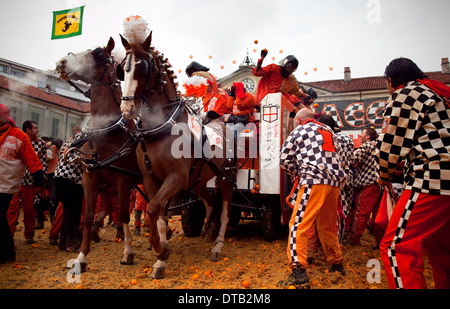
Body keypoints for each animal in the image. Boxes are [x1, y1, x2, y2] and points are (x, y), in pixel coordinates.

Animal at [56, 37, 142, 270]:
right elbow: (87, 216)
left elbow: (124, 215)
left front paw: (128, 252)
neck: (106, 132)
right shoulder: (90, 178)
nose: (62, 62)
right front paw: (81, 257)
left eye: (98, 53)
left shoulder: (123, 180)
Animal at [116, 32, 236, 278]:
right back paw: (208, 229)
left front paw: (160, 250)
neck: (159, 130)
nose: (127, 110)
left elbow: (152, 209)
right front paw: (160, 259)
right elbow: (158, 215)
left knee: (225, 211)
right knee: (210, 203)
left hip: (226, 178)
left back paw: (217, 245)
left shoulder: (176, 178)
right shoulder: (151, 180)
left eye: (143, 68)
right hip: (199, 180)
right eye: (122, 69)